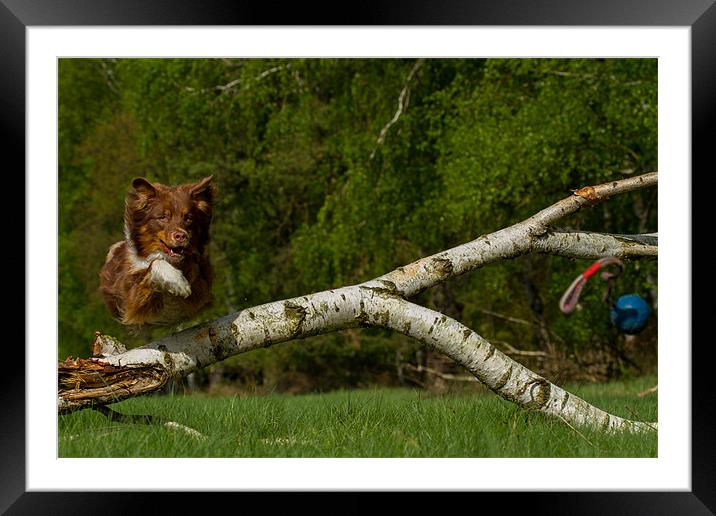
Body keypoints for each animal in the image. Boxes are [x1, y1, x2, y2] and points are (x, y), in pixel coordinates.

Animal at [100, 177, 213, 328]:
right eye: (163, 217)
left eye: (188, 218)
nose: (181, 236)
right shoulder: (131, 298)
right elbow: (153, 265)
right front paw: (179, 282)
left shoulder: (202, 288)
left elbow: (194, 267)